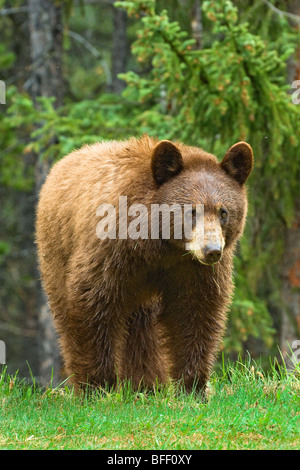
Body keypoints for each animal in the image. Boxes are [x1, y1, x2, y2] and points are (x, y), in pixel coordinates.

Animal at [35, 135, 253, 392]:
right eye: (192, 211)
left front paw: (192, 385)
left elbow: (195, 310)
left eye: (223, 212)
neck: (160, 244)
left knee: (142, 325)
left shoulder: (191, 269)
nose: (212, 251)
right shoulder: (110, 250)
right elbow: (93, 301)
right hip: (57, 251)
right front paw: (97, 385)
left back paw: (146, 382)